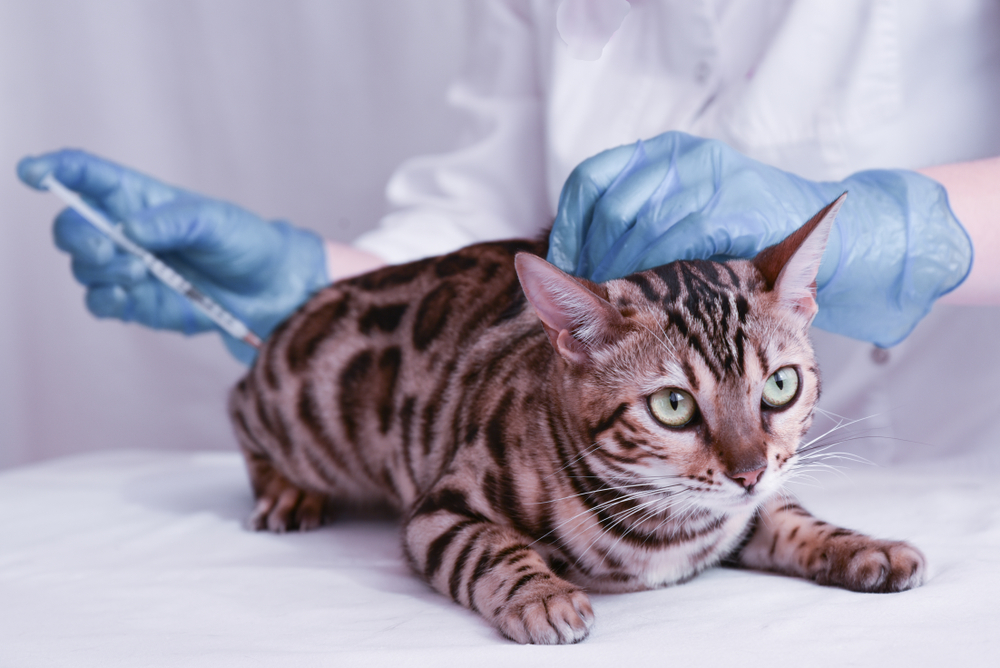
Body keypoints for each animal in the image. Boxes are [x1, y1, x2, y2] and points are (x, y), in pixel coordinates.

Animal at [229, 196, 928, 644]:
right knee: (238, 405)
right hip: (300, 411)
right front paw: (542, 596)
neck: (669, 529)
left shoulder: (748, 510)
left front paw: (865, 545)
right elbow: (488, 547)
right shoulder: (439, 509)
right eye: (673, 405)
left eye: (781, 386)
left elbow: (793, 518)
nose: (749, 471)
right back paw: (287, 491)